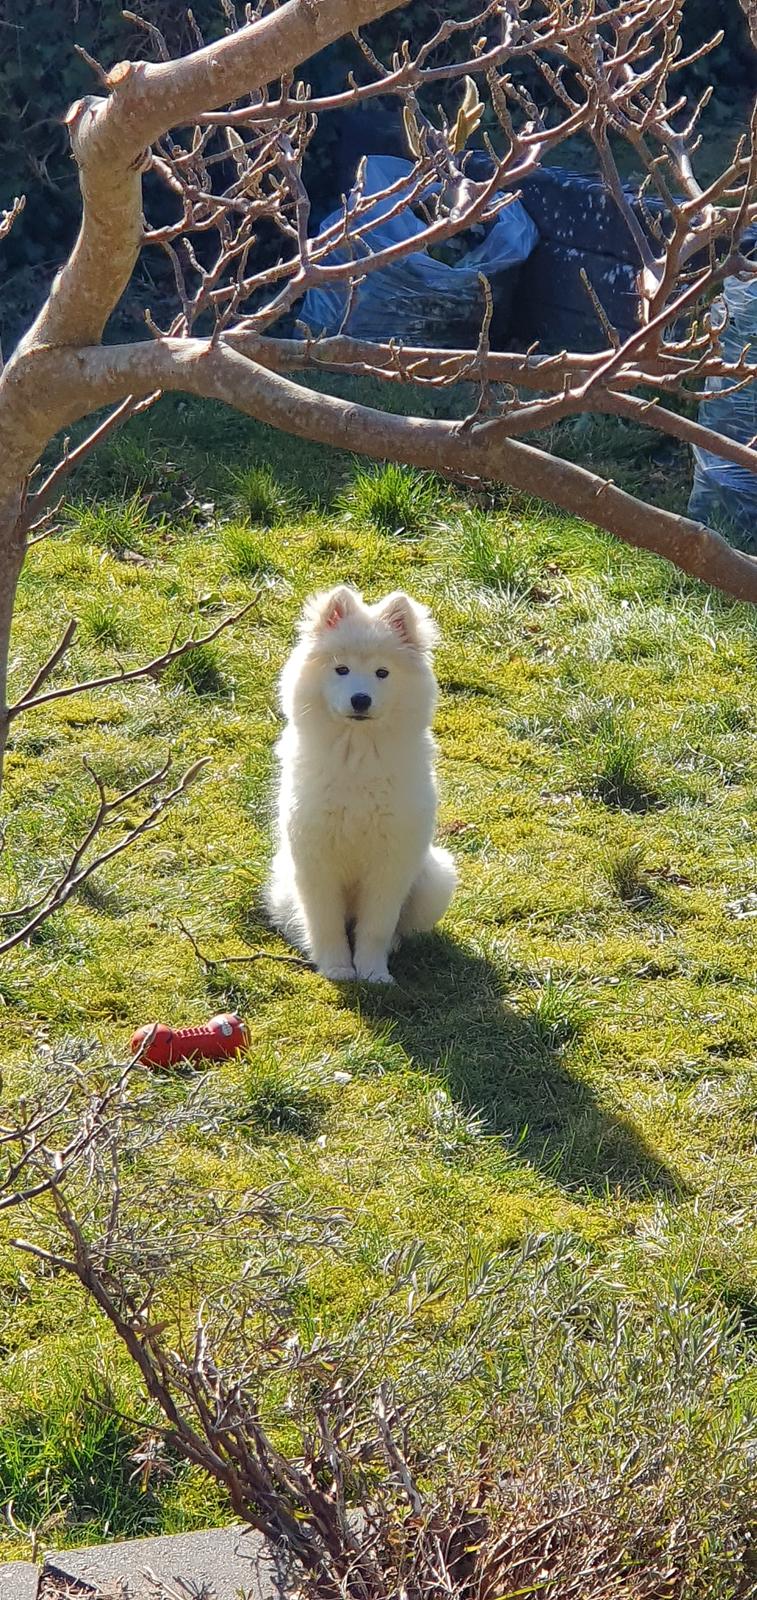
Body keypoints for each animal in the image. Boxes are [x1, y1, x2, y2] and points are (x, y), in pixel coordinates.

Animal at [265, 588, 454, 979]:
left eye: (383, 672)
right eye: (342, 669)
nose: (361, 700)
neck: (357, 753)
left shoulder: (390, 864)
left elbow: (376, 926)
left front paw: (373, 974)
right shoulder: (315, 859)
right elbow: (326, 923)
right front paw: (337, 968)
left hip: (435, 879)